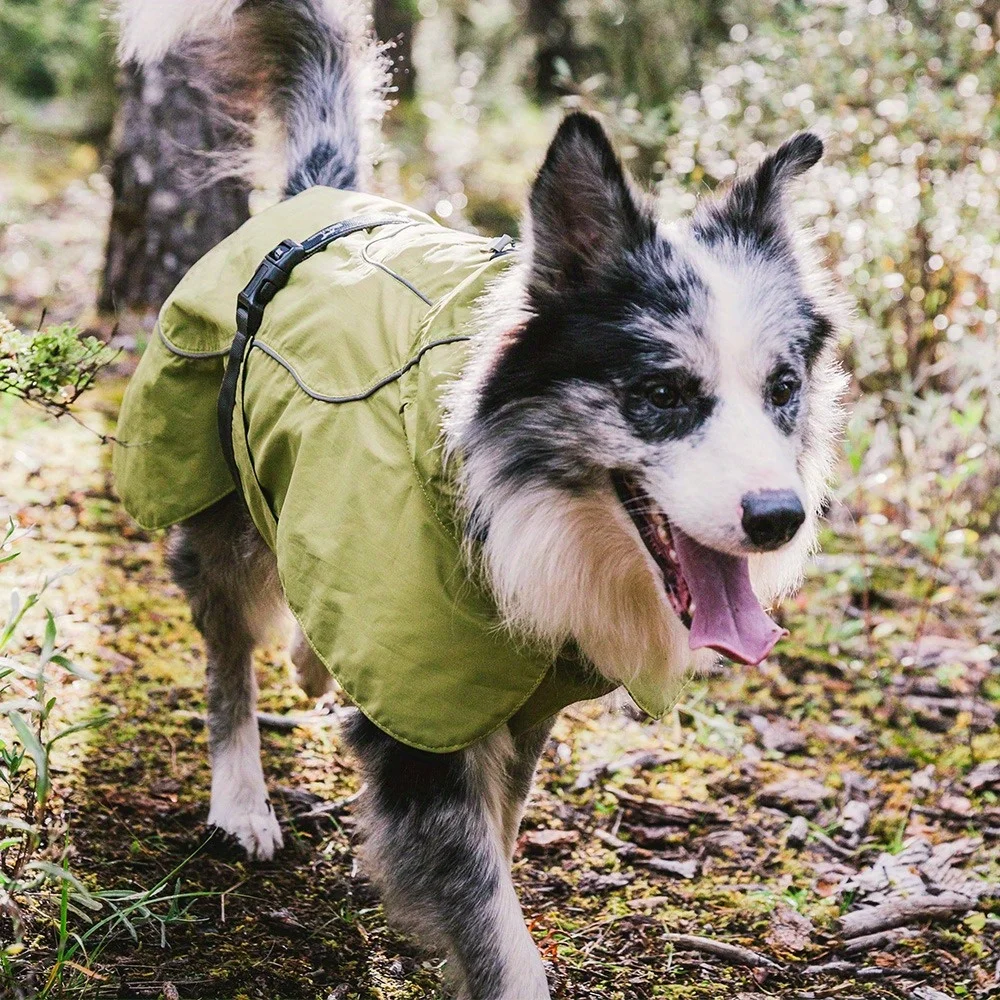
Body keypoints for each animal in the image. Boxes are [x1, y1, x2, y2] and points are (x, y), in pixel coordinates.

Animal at [119, 3, 852, 996]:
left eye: (783, 387)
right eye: (663, 393)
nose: (779, 520)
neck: (507, 506)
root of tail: (320, 192)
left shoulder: (526, 697)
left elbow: (495, 844)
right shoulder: (430, 719)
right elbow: (492, 925)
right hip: (217, 501)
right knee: (228, 649)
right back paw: (241, 799)